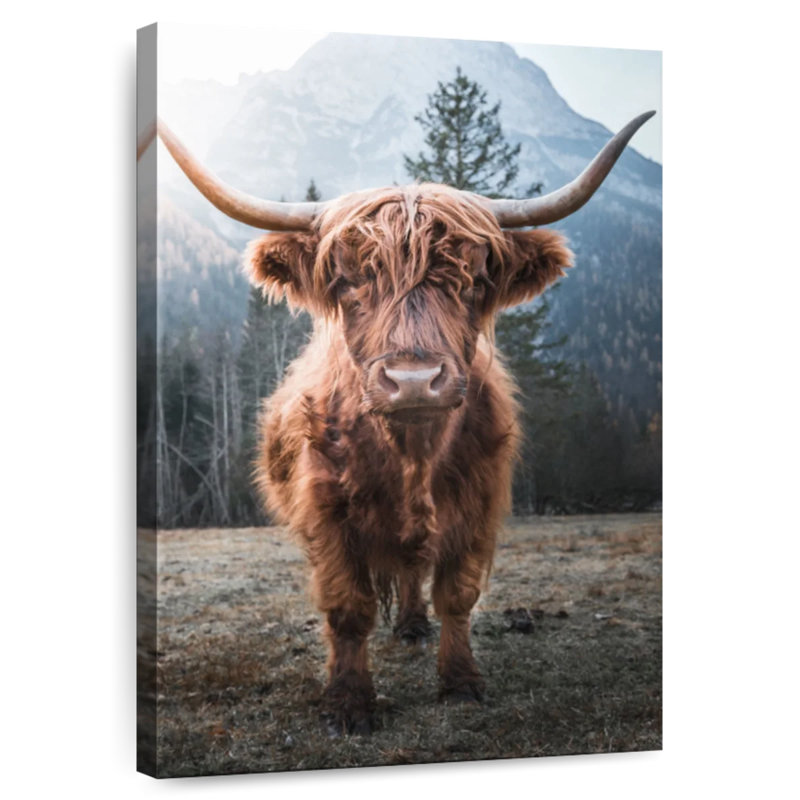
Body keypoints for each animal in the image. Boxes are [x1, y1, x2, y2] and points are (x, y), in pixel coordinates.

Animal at [153, 111, 654, 734]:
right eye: (347, 281)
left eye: (474, 281)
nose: (414, 380)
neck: (412, 453)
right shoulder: (326, 512)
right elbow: (347, 607)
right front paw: (348, 702)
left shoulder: (479, 504)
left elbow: (458, 595)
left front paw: (460, 683)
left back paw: (415, 626)